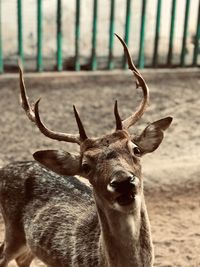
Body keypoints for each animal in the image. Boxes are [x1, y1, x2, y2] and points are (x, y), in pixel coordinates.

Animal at [0, 34, 172, 266]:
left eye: (135, 150)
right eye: (85, 166)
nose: (123, 181)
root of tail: (5, 168)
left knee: (24, 258)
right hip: (12, 230)